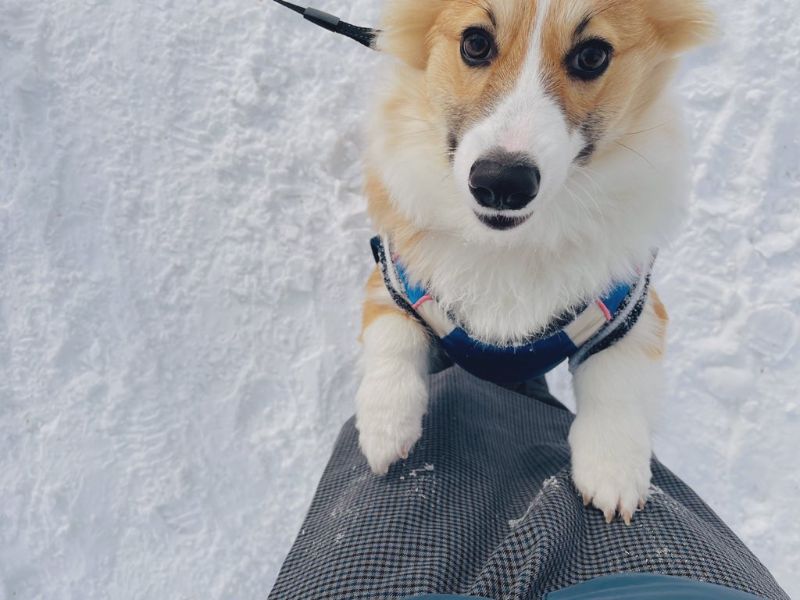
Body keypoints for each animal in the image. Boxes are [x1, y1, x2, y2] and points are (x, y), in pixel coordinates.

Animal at [356, 0, 712, 524]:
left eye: (592, 56)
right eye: (475, 43)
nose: (502, 182)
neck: (511, 246)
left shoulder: (634, 310)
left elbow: (618, 386)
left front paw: (613, 471)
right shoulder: (393, 275)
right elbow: (392, 338)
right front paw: (385, 426)